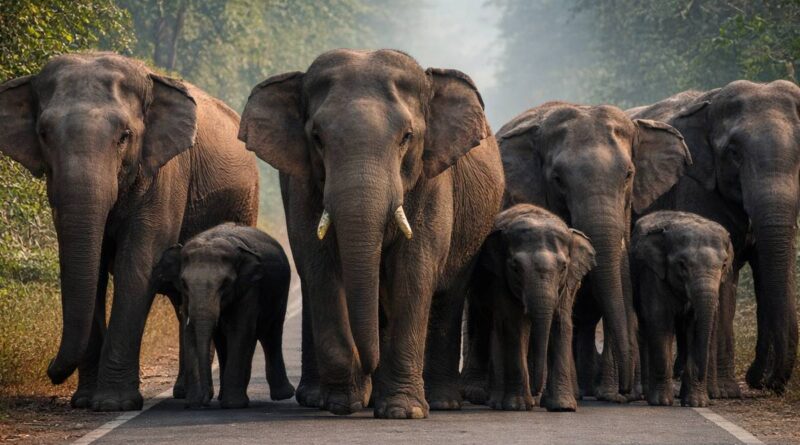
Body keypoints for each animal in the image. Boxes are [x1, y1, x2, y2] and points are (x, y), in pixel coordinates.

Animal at [0, 53, 258, 411]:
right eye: (44, 134)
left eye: (124, 136)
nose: (51, 372)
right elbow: (87, 271)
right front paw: (84, 401)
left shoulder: (166, 175)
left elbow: (137, 266)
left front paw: (113, 404)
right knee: (183, 301)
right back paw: (184, 392)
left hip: (244, 204)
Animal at [152, 223, 294, 409]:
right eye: (184, 283)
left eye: (225, 283)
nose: (205, 401)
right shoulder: (186, 297)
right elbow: (189, 332)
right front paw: (193, 402)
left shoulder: (250, 288)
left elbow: (240, 329)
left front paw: (233, 404)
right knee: (224, 341)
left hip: (280, 293)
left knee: (270, 334)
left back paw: (281, 395)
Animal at [238, 49, 504, 419]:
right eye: (317, 138)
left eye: (407, 136)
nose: (368, 365)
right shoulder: (303, 187)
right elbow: (321, 271)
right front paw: (343, 403)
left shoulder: (432, 182)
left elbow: (414, 271)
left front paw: (404, 412)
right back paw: (323, 396)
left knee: (447, 294)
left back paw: (439, 402)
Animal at [473, 204, 595, 412]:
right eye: (515, 268)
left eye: (563, 267)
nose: (537, 390)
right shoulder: (501, 279)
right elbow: (514, 325)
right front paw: (518, 406)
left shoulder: (568, 283)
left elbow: (561, 322)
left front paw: (563, 407)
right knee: (494, 326)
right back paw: (498, 402)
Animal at [631, 211, 733, 407]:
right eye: (682, 265)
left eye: (724, 265)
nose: (711, 400)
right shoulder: (653, 274)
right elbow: (659, 320)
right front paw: (662, 402)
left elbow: (695, 326)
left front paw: (697, 403)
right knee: (646, 329)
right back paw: (648, 394)